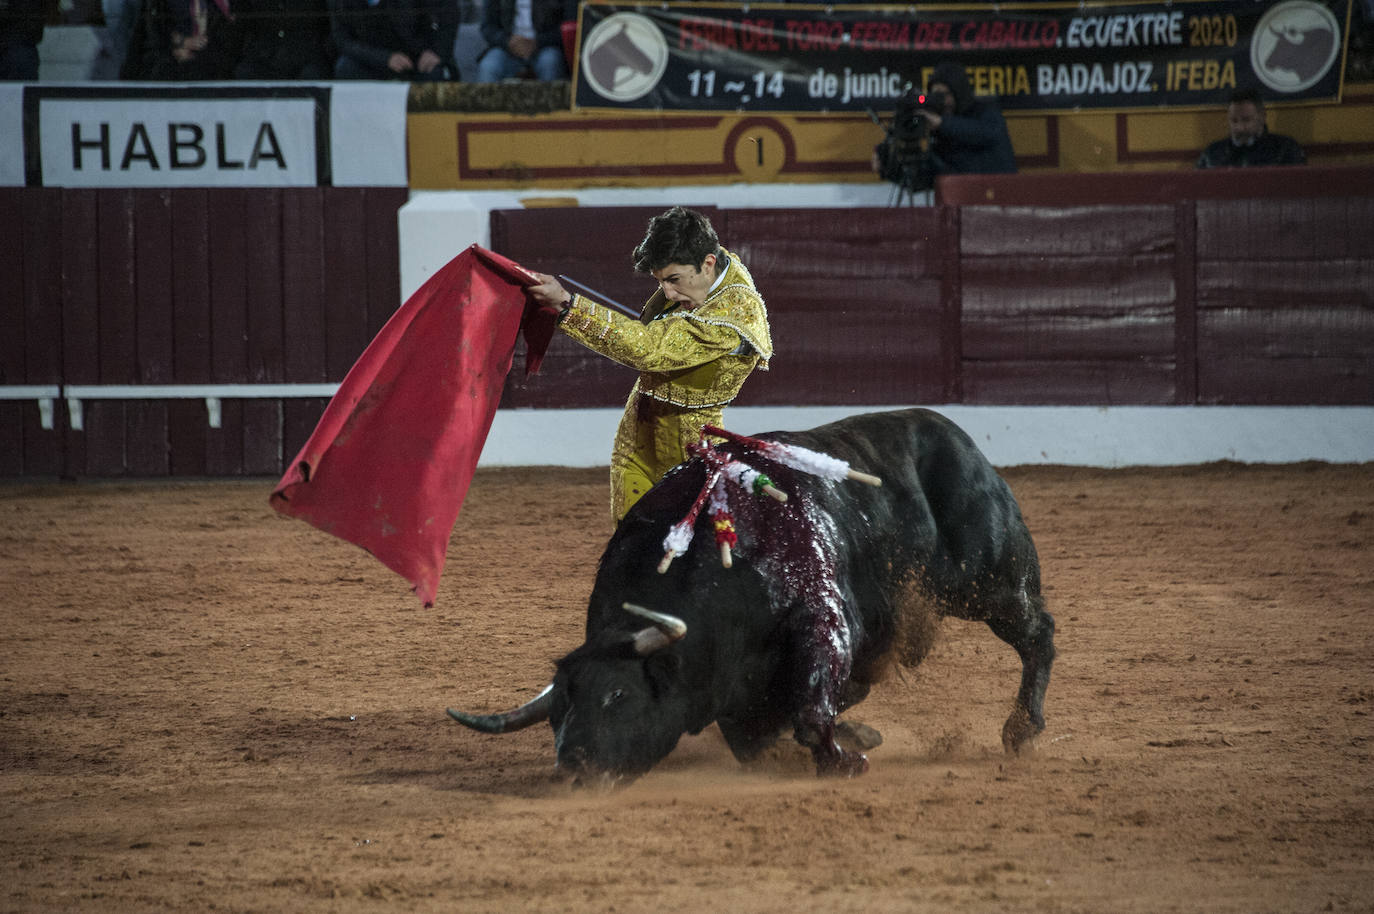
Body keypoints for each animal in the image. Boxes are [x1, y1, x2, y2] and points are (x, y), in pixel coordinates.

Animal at [445, 409, 1055, 780]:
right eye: (557, 712)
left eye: (618, 694)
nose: (575, 764)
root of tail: (955, 435)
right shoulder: (733, 684)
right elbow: (754, 740)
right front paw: (837, 743)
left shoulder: (825, 623)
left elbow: (809, 711)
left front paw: (845, 761)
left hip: (994, 583)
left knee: (1037, 635)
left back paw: (1021, 730)